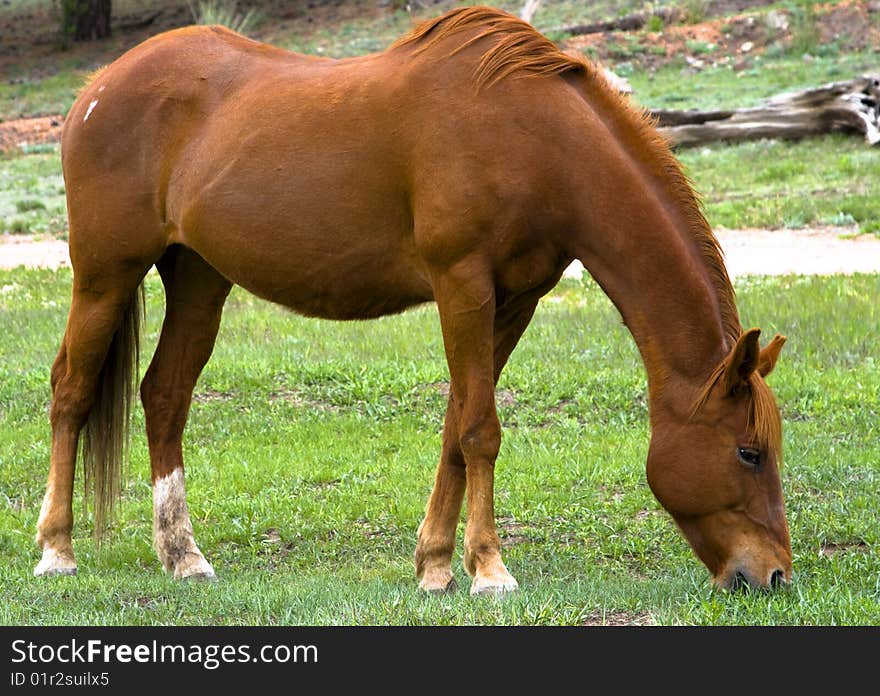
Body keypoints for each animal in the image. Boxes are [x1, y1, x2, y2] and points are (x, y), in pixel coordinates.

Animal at [32, 5, 792, 592]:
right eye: (749, 452)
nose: (775, 575)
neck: (533, 137)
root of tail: (100, 85)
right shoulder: (463, 285)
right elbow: (481, 427)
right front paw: (490, 570)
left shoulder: (514, 301)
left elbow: (458, 425)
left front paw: (435, 564)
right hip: (104, 275)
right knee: (71, 390)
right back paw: (56, 551)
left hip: (198, 278)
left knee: (164, 396)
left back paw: (182, 555)